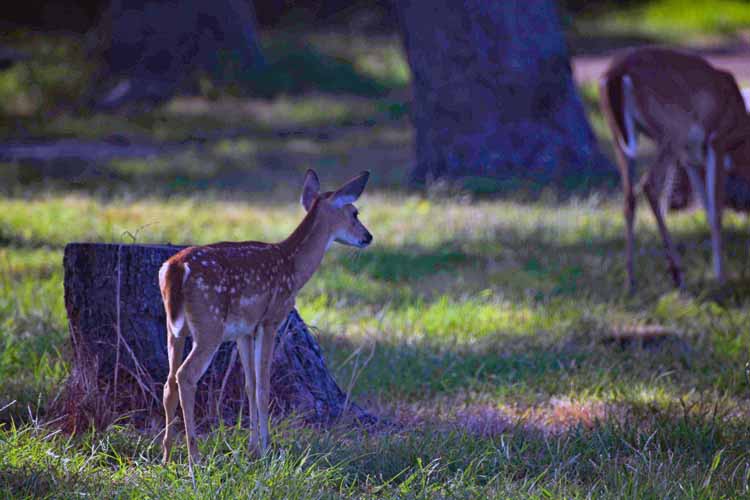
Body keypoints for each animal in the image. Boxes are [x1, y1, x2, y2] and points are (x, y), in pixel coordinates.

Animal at [158, 169, 373, 468]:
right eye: (354, 212)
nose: (368, 236)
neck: (293, 266)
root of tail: (175, 268)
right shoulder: (271, 319)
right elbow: (263, 386)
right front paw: (266, 449)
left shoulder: (244, 330)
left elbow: (250, 385)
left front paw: (253, 448)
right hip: (209, 325)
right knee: (185, 376)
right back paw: (194, 457)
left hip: (173, 328)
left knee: (168, 382)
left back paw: (166, 455)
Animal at [599, 46, 750, 292]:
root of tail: (616, 72)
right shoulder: (717, 141)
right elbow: (717, 213)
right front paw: (721, 278)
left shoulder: (691, 159)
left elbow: (708, 210)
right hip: (673, 129)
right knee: (649, 184)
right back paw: (677, 273)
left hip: (619, 136)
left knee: (628, 197)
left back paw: (631, 281)